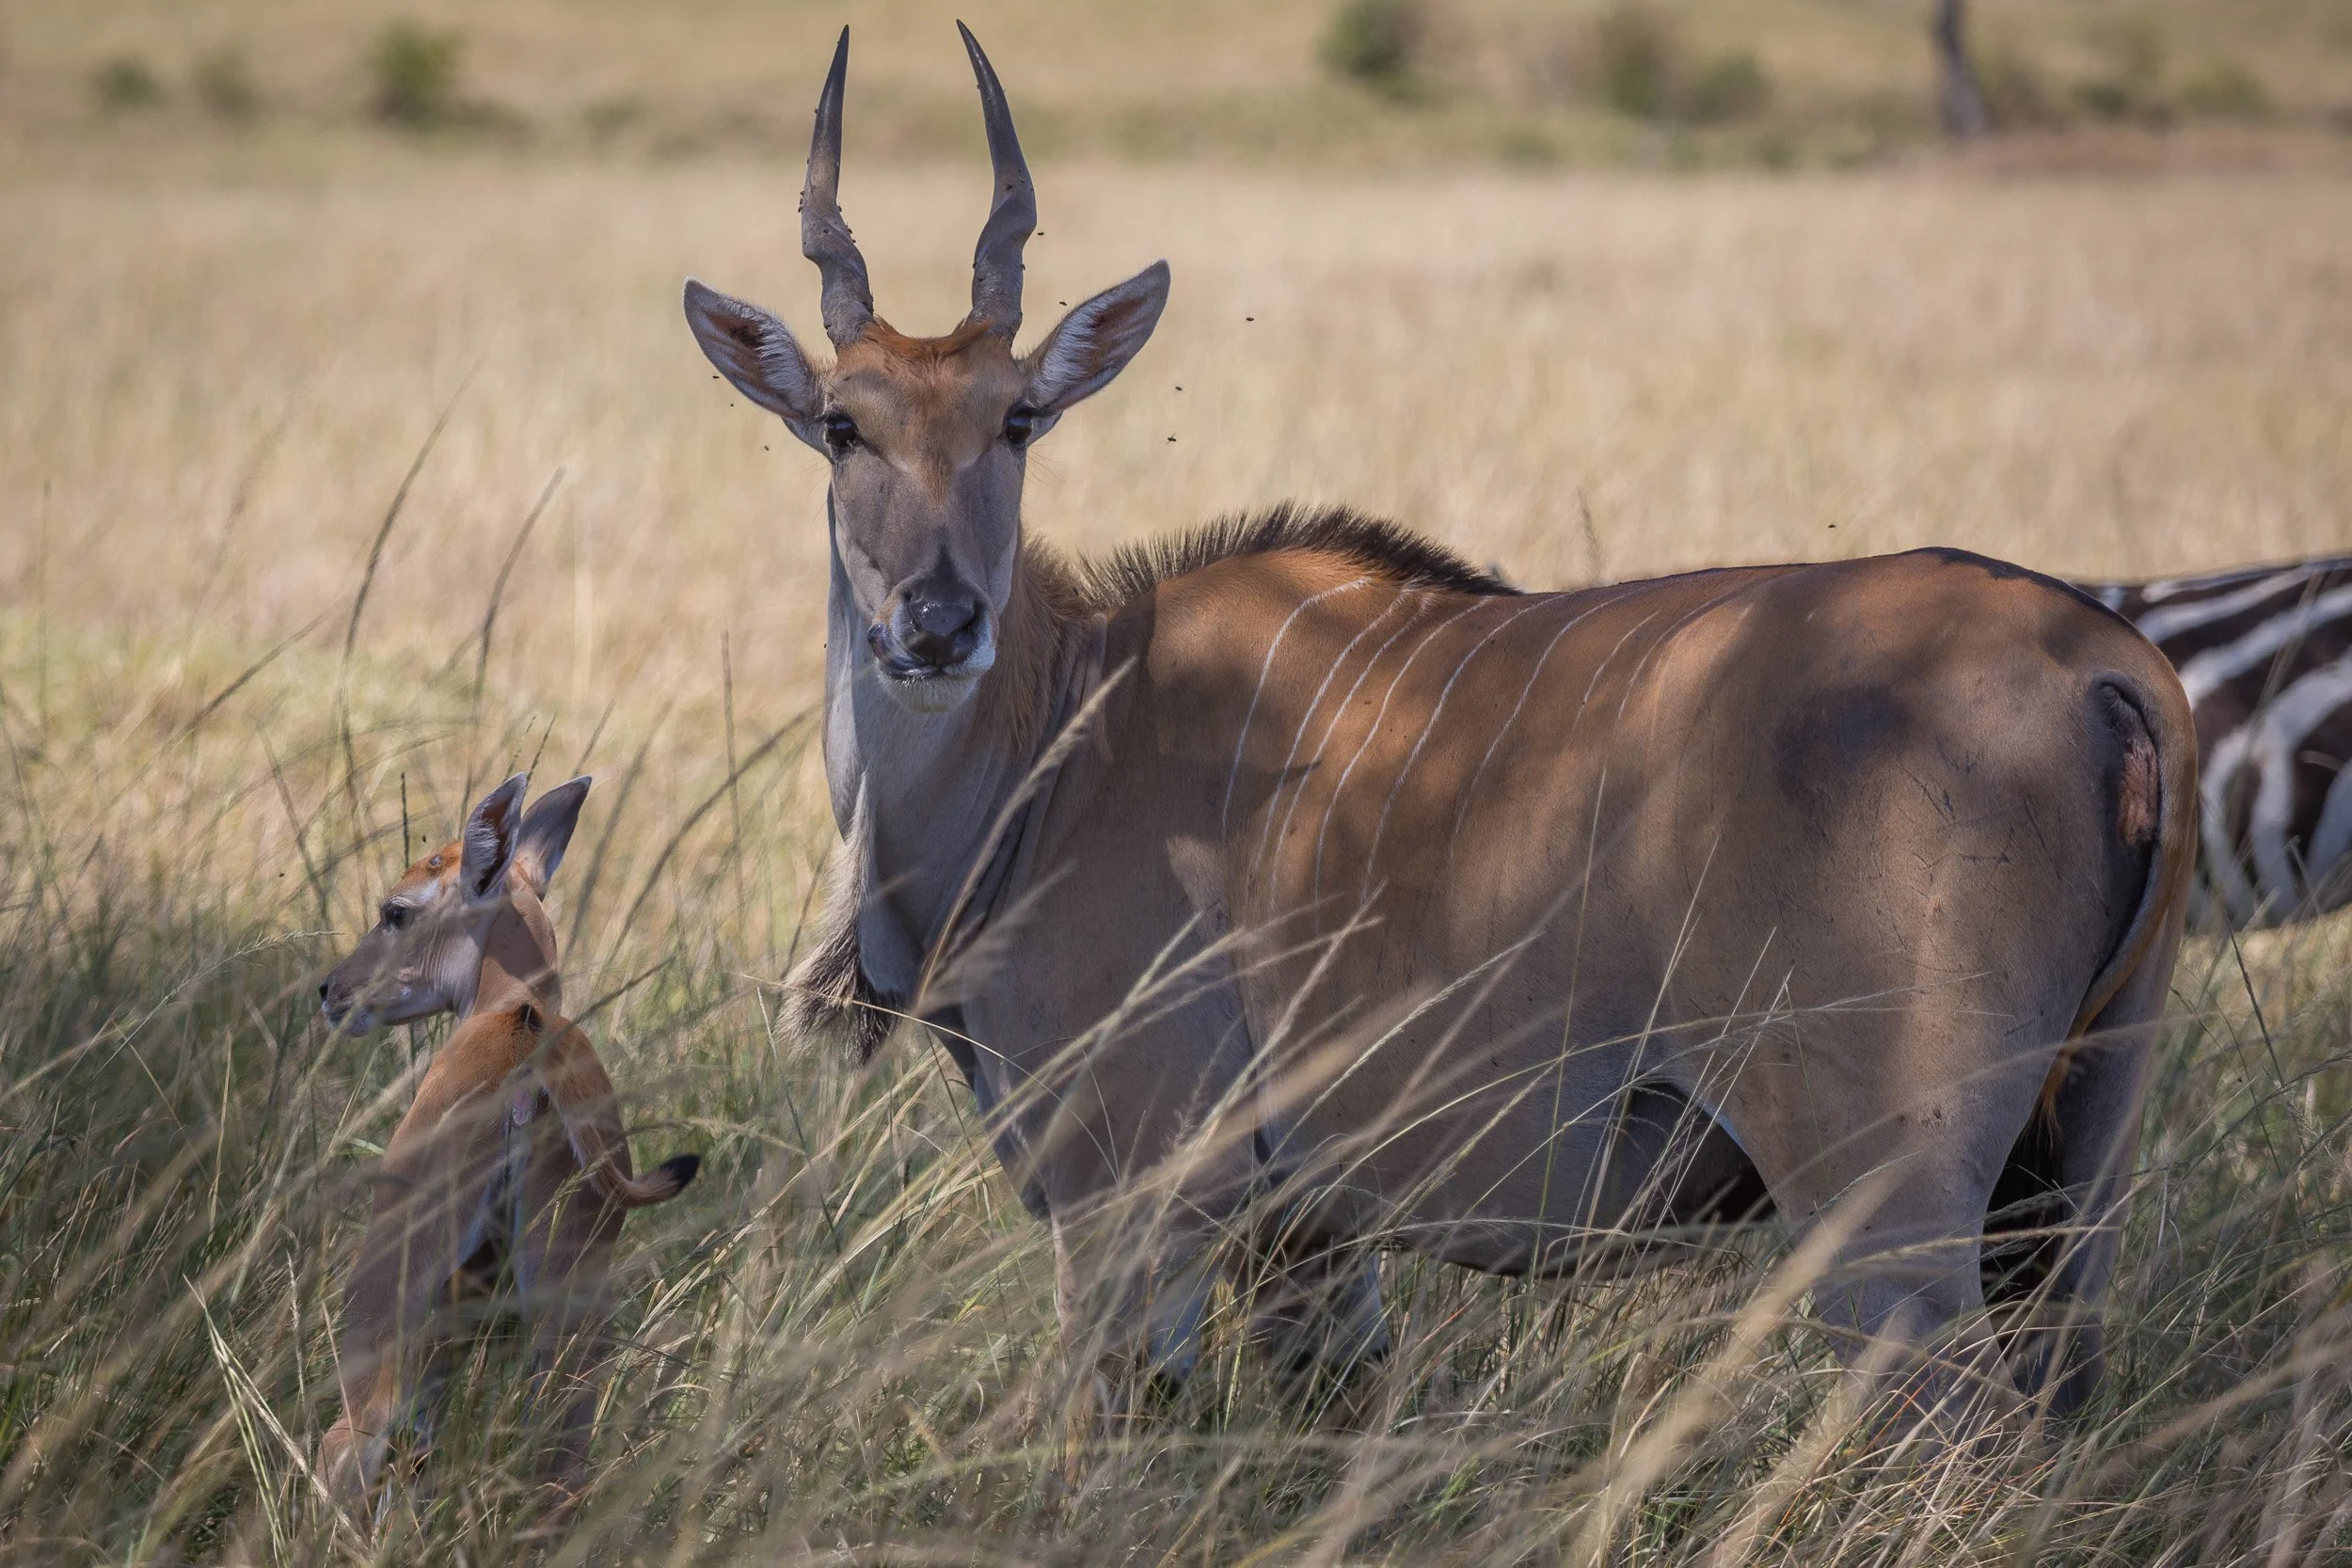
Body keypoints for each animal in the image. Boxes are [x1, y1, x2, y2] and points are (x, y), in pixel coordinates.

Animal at [316, 773, 699, 1513]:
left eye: (396, 910)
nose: (331, 990)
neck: (507, 1007)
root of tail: (532, 1053)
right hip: (561, 1293)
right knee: (559, 1457)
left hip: (391, 1293)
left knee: (352, 1443)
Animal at [681, 26, 2196, 1433]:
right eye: (842, 425)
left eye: (1020, 419)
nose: (936, 623)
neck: (1062, 730)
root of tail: (2100, 661)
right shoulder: (1305, 1235)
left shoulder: (1133, 1196)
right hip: (2077, 1177)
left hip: (1887, 1216)